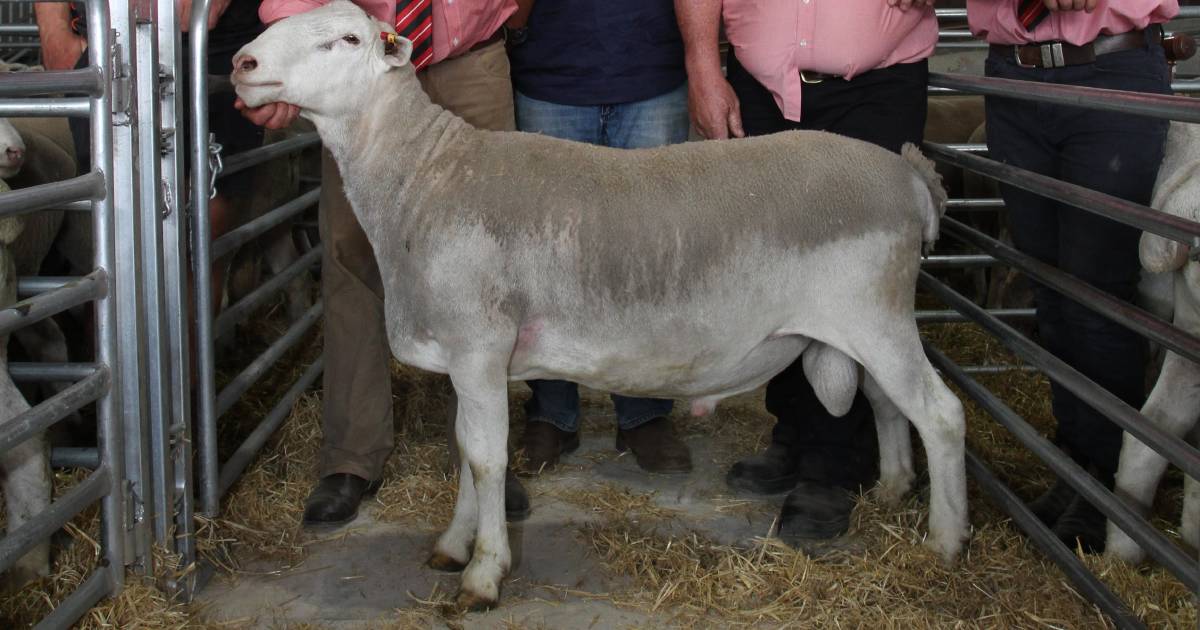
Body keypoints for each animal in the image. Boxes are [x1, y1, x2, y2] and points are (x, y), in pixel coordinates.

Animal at [229, 1, 969, 609]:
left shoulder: (479, 346)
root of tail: (908, 174)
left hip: (873, 313)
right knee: (886, 403)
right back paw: (894, 488)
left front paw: (484, 574)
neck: (428, 176)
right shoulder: (468, 358)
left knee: (941, 413)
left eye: (349, 39)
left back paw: (945, 540)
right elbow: (466, 450)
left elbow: (487, 459)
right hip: (861, 325)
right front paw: (453, 545)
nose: (242, 63)